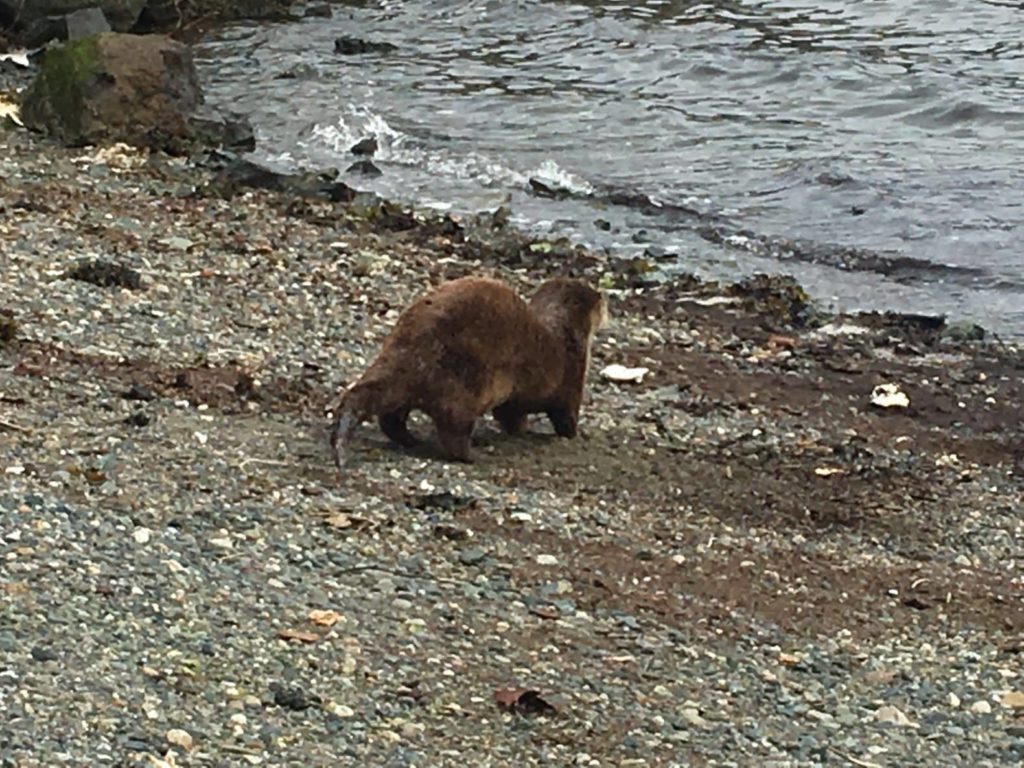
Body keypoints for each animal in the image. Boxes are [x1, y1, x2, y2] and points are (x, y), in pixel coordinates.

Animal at [327, 278, 602, 466]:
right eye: (596, 298)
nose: (604, 299)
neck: (563, 332)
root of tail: (412, 349)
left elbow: (510, 414)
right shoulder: (572, 374)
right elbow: (564, 414)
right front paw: (572, 434)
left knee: (392, 416)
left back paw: (412, 440)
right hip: (464, 385)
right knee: (453, 429)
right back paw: (474, 454)